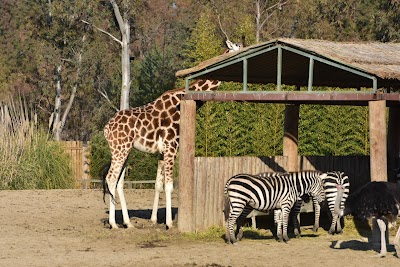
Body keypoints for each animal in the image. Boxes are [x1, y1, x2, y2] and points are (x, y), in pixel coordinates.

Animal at [103, 40, 241, 229]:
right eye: (238, 47)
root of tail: (106, 128)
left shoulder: (162, 152)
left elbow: (158, 185)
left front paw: (154, 220)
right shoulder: (171, 147)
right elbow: (169, 186)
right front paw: (169, 223)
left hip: (124, 151)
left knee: (118, 182)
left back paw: (128, 223)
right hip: (120, 150)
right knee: (111, 178)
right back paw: (114, 224)